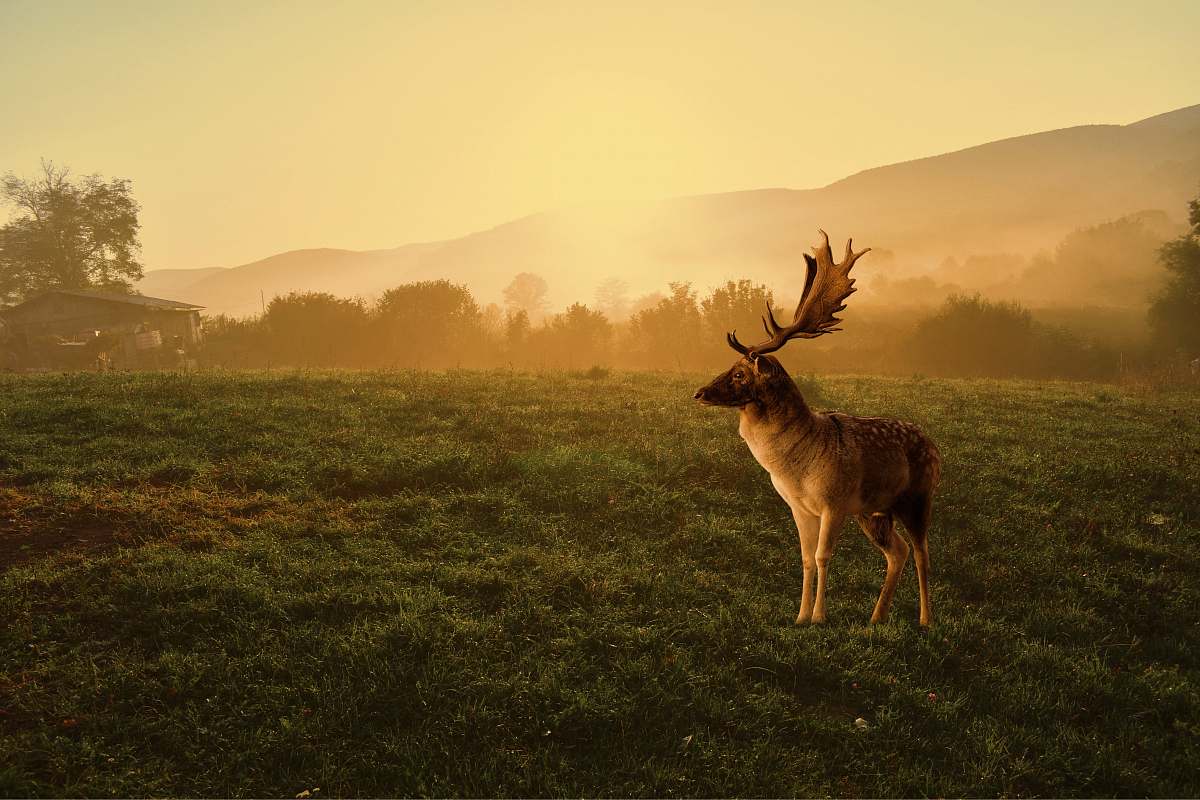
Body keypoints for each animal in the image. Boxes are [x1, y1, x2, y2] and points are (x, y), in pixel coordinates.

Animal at [696, 230, 936, 623]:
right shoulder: (799, 507)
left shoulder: (833, 502)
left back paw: (925, 620)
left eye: (740, 373)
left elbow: (823, 556)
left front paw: (820, 617)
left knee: (922, 553)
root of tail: (935, 445)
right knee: (897, 552)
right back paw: (876, 618)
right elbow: (806, 559)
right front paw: (800, 616)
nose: (699, 392)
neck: (795, 467)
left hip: (918, 497)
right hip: (873, 512)